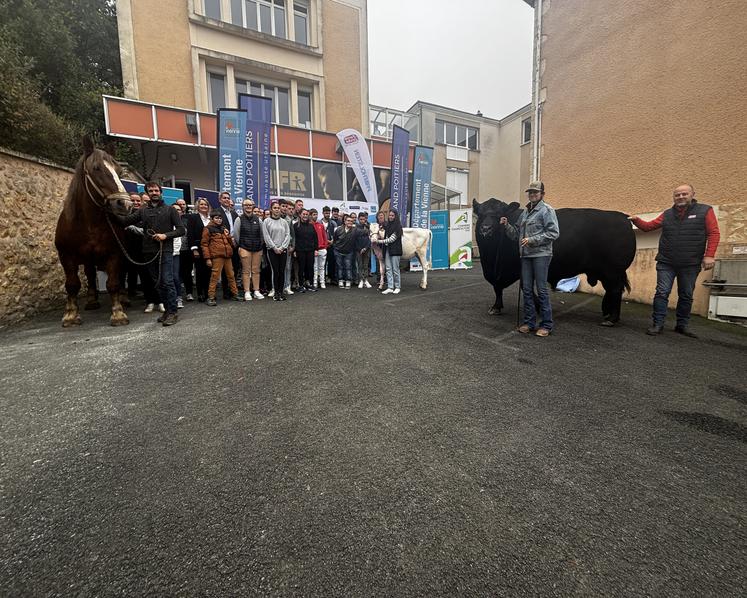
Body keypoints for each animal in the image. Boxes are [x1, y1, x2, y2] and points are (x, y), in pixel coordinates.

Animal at [54, 138, 132, 328]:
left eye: (119, 171)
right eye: (96, 168)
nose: (125, 204)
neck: (89, 223)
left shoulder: (114, 253)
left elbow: (113, 283)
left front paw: (118, 313)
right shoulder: (65, 255)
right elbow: (72, 284)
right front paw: (70, 315)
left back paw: (123, 298)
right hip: (87, 258)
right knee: (89, 274)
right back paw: (91, 300)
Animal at [476, 199, 636, 326]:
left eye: (499, 215)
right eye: (481, 214)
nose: (486, 229)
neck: (490, 259)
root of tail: (624, 217)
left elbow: (521, 287)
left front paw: (539, 307)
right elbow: (498, 288)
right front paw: (496, 307)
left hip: (613, 272)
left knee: (615, 290)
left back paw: (611, 318)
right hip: (608, 273)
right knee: (612, 291)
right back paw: (608, 314)